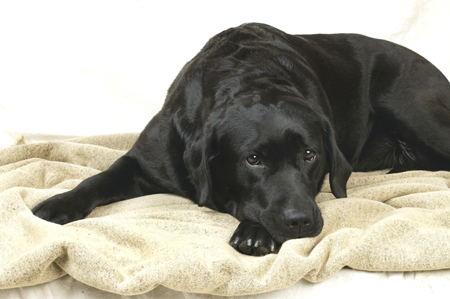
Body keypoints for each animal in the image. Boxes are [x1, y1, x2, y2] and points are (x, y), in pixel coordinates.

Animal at [33, 23, 450, 256]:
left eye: (310, 154)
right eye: (253, 159)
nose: (300, 221)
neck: (252, 76)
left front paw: (255, 233)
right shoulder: (142, 160)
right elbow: (98, 178)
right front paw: (57, 205)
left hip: (409, 106)